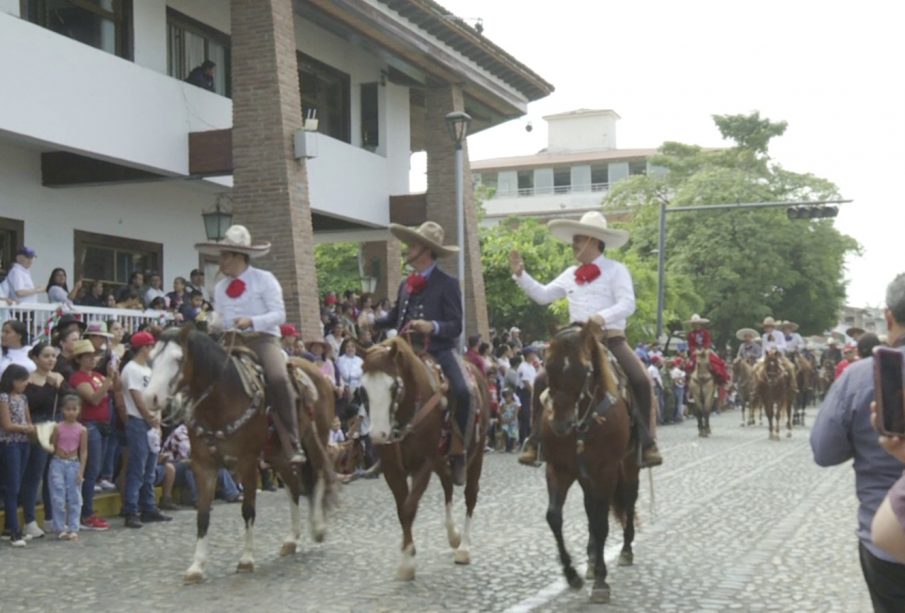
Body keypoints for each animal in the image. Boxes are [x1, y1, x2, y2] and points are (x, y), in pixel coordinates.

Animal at [145, 328, 336, 580]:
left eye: (178, 359)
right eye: (151, 359)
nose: (151, 398)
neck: (221, 400)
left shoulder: (247, 462)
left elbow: (248, 510)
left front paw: (246, 560)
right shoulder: (203, 465)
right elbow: (202, 515)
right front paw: (197, 566)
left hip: (315, 438)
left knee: (319, 474)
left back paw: (318, 528)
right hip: (276, 452)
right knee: (294, 487)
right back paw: (291, 539)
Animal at [358, 334, 488, 580]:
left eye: (393, 386)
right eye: (363, 388)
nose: (378, 435)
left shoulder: (424, 464)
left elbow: (409, 508)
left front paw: (407, 562)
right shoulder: (392, 469)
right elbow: (402, 510)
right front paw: (406, 555)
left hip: (476, 455)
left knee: (470, 495)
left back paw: (464, 547)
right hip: (443, 462)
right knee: (447, 486)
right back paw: (453, 535)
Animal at [540, 320, 640, 604]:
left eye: (584, 369)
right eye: (547, 366)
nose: (560, 423)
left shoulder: (606, 470)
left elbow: (601, 523)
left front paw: (601, 583)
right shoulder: (559, 469)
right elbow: (554, 517)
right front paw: (571, 574)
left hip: (628, 466)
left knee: (628, 501)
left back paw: (625, 550)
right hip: (586, 477)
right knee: (591, 507)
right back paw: (592, 560)